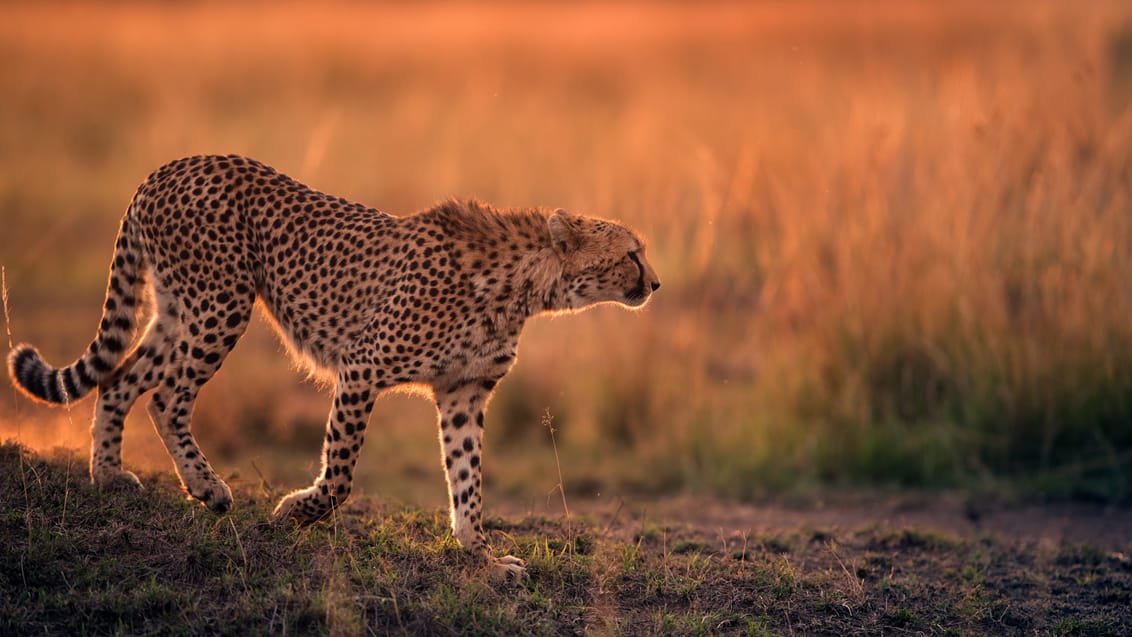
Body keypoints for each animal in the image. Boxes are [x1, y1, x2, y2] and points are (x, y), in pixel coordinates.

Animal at [8, 152, 661, 579]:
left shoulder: (464, 391)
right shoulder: (362, 366)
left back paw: (109, 478)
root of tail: (172, 165)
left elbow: (468, 479)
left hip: (178, 309)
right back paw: (208, 489)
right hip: (221, 304)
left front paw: (481, 556)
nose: (656, 283)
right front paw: (296, 512)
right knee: (167, 396)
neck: (524, 284)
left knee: (120, 379)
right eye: (632, 253)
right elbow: (343, 473)